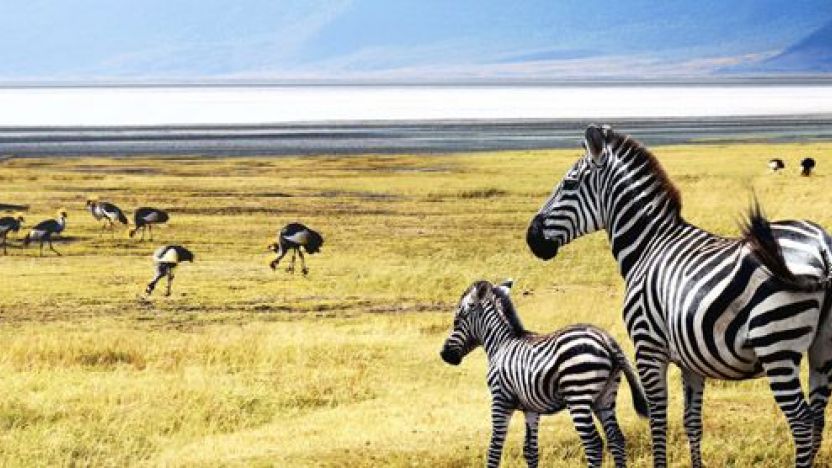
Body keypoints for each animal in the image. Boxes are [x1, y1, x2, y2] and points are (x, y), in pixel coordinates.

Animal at [440, 279, 649, 468]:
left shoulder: (500, 400)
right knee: (616, 439)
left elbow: (494, 447)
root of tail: (605, 338)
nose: (444, 355)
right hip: (605, 396)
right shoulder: (531, 408)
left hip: (578, 394)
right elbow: (530, 450)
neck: (501, 344)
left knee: (594, 444)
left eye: (456, 321)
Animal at [525, 124, 832, 467]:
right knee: (818, 418)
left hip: (776, 344)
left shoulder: (647, 347)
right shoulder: (692, 359)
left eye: (569, 184)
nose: (531, 237)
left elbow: (658, 419)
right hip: (822, 348)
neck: (649, 245)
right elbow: (692, 421)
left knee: (802, 422)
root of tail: (821, 247)